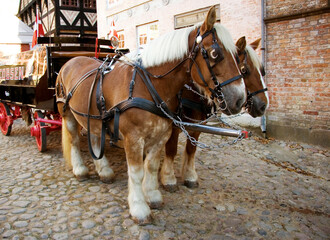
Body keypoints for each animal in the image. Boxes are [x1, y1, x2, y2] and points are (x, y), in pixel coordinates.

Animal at [161, 37, 270, 191]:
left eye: (262, 70)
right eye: (244, 70)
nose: (263, 105)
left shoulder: (196, 127)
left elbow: (191, 149)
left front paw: (190, 176)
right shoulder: (173, 126)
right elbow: (171, 150)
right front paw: (169, 179)